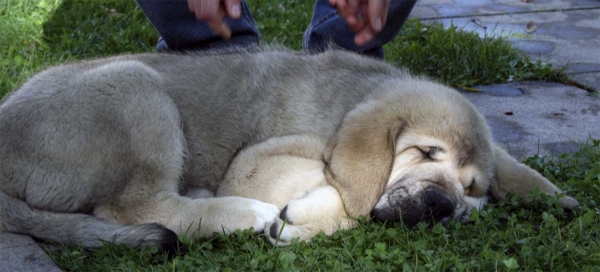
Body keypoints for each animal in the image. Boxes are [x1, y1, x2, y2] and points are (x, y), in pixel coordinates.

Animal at [0, 49, 576, 253]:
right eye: (427, 152)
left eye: (472, 184)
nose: (440, 206)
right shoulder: (258, 162)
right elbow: (354, 204)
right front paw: (300, 218)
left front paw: (549, 196)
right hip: (136, 89)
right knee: (135, 206)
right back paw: (243, 215)